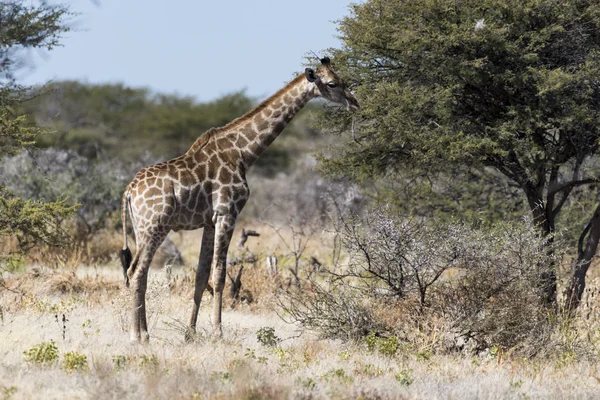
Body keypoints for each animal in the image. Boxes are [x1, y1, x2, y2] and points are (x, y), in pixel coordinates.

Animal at [119, 57, 358, 342]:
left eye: (343, 79)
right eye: (332, 83)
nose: (354, 103)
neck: (243, 153)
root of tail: (129, 191)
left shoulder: (210, 221)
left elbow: (201, 275)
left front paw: (191, 332)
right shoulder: (227, 214)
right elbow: (220, 274)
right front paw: (218, 332)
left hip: (142, 228)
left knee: (139, 273)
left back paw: (144, 333)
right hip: (155, 225)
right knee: (136, 271)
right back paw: (137, 337)